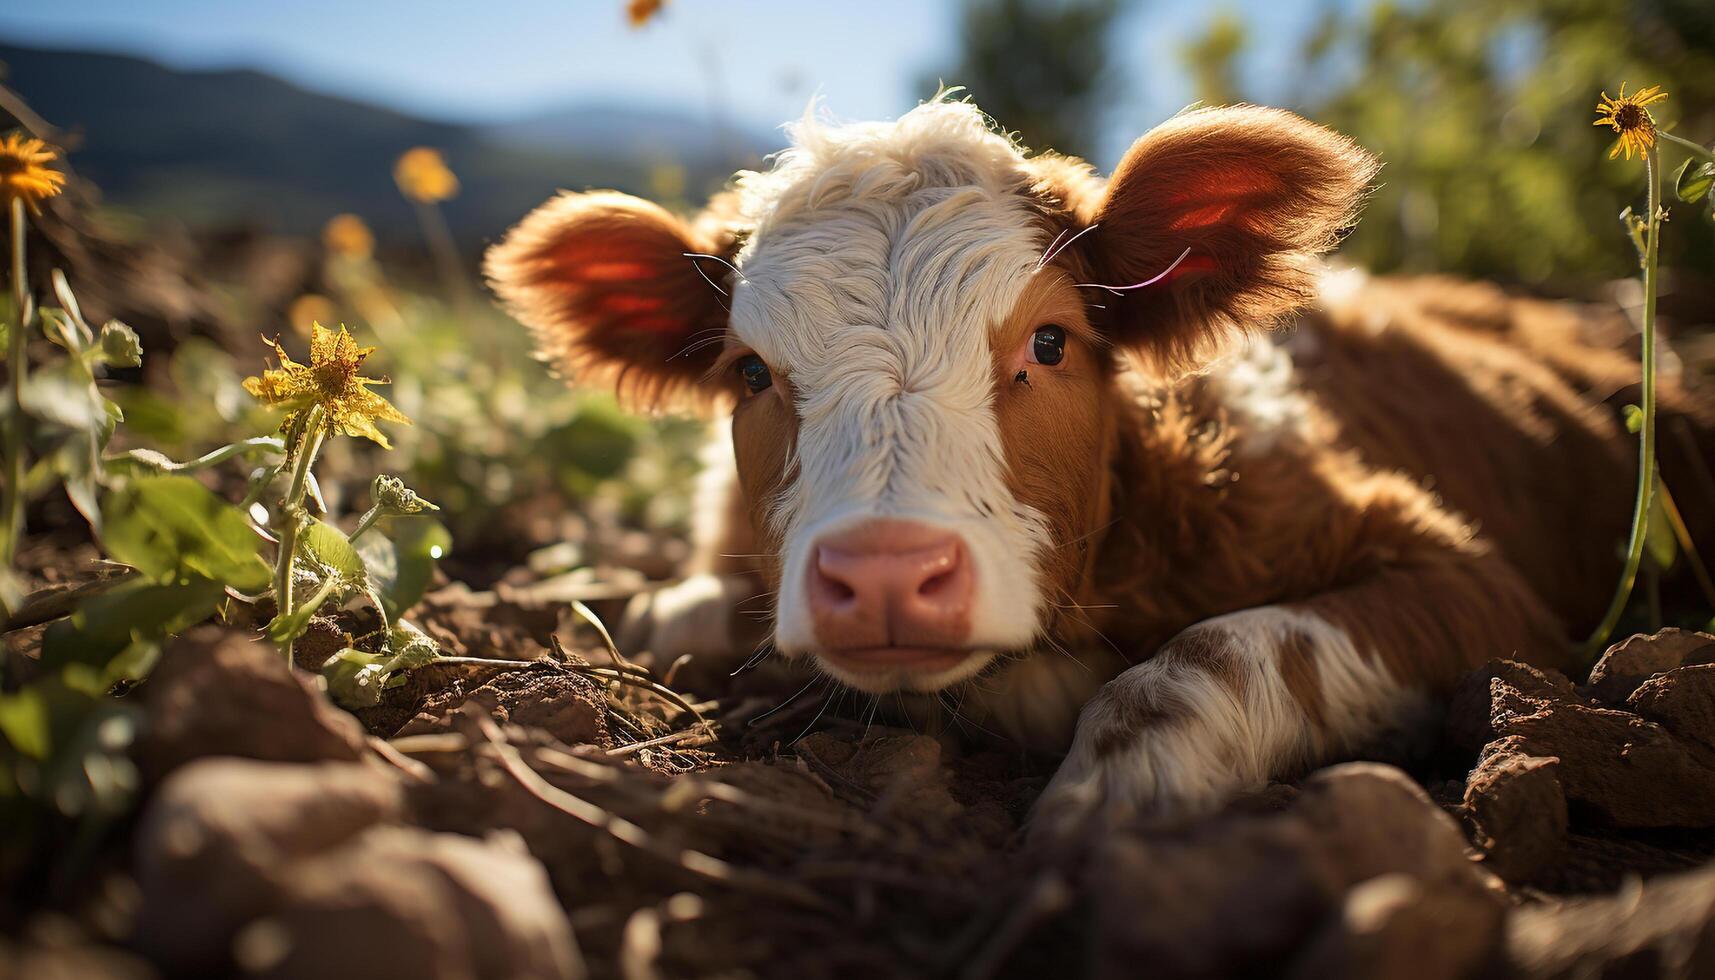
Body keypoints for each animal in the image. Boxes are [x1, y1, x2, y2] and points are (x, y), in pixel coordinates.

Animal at [487, 99, 1715, 830]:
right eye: (749, 372)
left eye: (1047, 342)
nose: (885, 571)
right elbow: (676, 607)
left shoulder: (1479, 588)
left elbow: (1227, 648)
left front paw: (1106, 794)